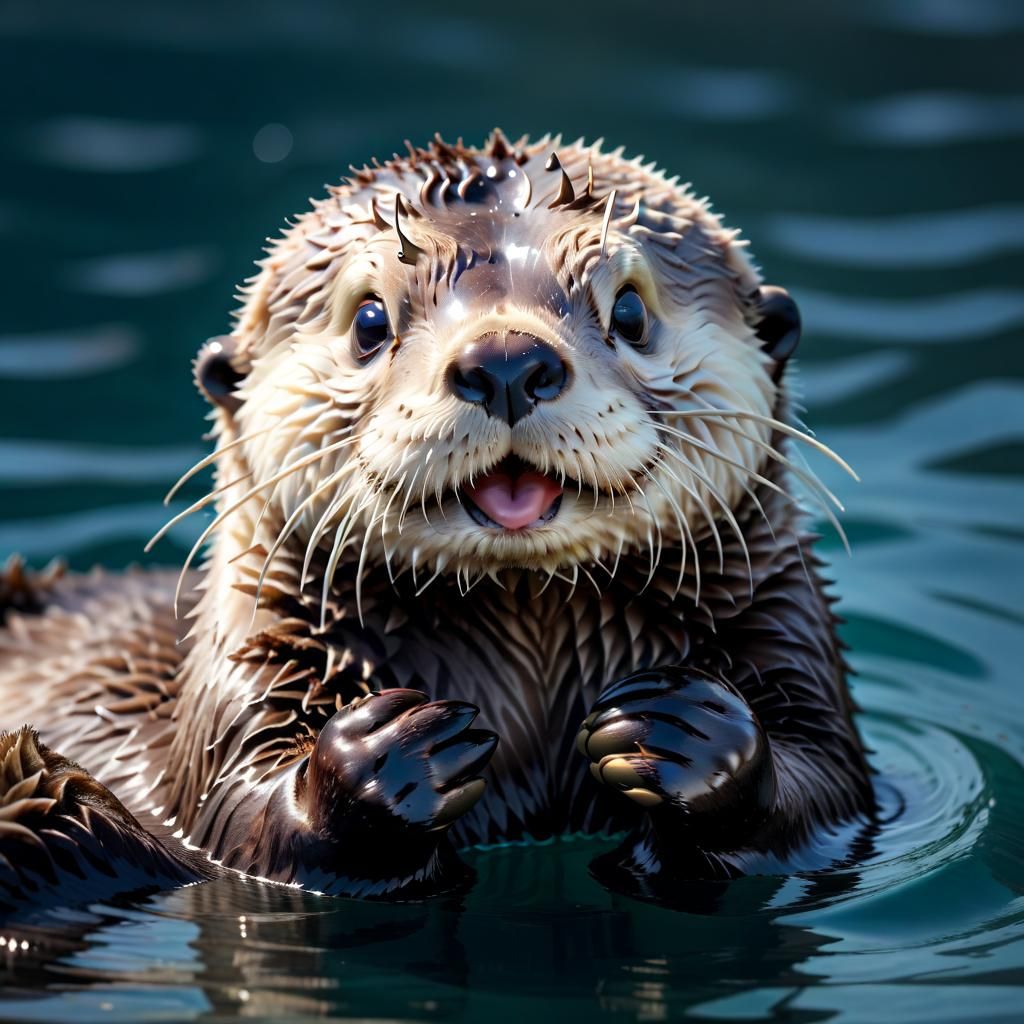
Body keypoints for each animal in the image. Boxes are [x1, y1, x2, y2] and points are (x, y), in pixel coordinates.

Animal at [0, 130, 874, 909]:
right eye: (369, 323)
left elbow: (824, 787)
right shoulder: (249, 670)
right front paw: (394, 754)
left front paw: (684, 732)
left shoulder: (787, 639)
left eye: (628, 310)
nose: (507, 361)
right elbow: (246, 812)